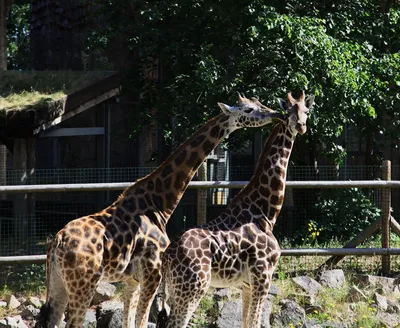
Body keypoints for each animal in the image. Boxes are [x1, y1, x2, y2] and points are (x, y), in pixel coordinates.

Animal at [36, 93, 282, 328]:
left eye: (259, 103)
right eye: (248, 109)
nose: (274, 114)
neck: (160, 202)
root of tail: (56, 243)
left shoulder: (133, 279)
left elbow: (129, 321)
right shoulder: (153, 271)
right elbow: (142, 321)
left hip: (57, 283)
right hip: (85, 284)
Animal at [157, 90, 316, 328]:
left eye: (306, 110)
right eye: (289, 111)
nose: (301, 125)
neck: (265, 212)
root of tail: (167, 258)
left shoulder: (247, 285)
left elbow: (246, 323)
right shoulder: (263, 277)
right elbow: (255, 323)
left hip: (172, 291)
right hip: (192, 289)